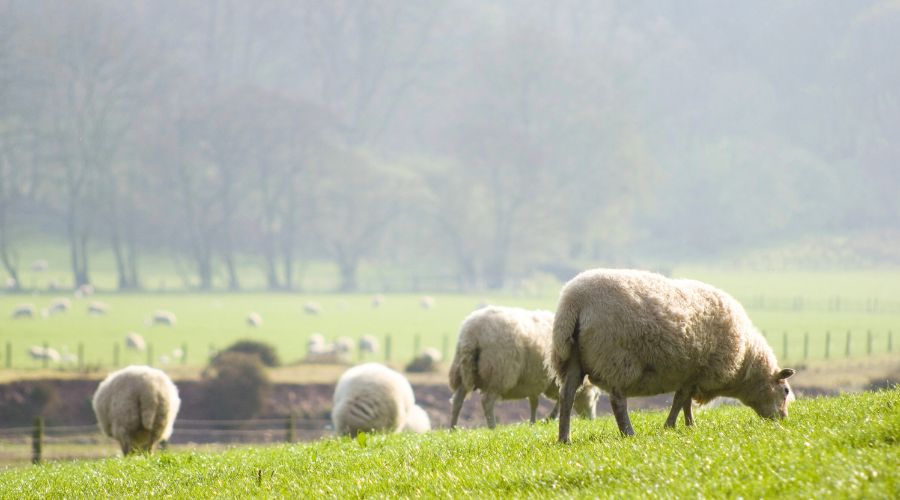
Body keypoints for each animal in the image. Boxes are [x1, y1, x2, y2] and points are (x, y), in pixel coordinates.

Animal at [448, 304, 600, 430]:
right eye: (596, 396)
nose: (592, 420)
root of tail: (472, 335)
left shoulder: (535, 380)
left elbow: (534, 402)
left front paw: (533, 423)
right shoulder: (548, 379)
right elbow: (556, 399)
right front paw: (549, 418)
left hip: (462, 371)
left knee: (457, 401)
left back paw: (453, 428)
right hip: (498, 373)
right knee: (487, 402)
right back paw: (492, 427)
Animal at [548, 268, 796, 444]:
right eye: (785, 391)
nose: (783, 419)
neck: (746, 359)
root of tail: (574, 302)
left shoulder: (690, 373)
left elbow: (684, 401)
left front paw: (689, 425)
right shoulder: (698, 370)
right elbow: (680, 400)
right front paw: (671, 425)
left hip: (572, 357)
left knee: (567, 396)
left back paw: (564, 438)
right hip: (616, 357)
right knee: (617, 401)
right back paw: (628, 433)